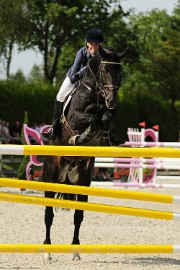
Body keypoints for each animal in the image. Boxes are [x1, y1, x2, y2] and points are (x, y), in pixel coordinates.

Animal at [42, 45, 126, 260]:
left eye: (120, 72)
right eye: (105, 70)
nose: (112, 100)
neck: (95, 92)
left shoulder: (108, 113)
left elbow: (106, 117)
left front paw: (105, 135)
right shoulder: (76, 117)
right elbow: (92, 120)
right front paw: (80, 137)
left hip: (83, 179)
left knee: (78, 215)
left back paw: (76, 251)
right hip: (51, 174)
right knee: (48, 214)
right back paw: (47, 251)